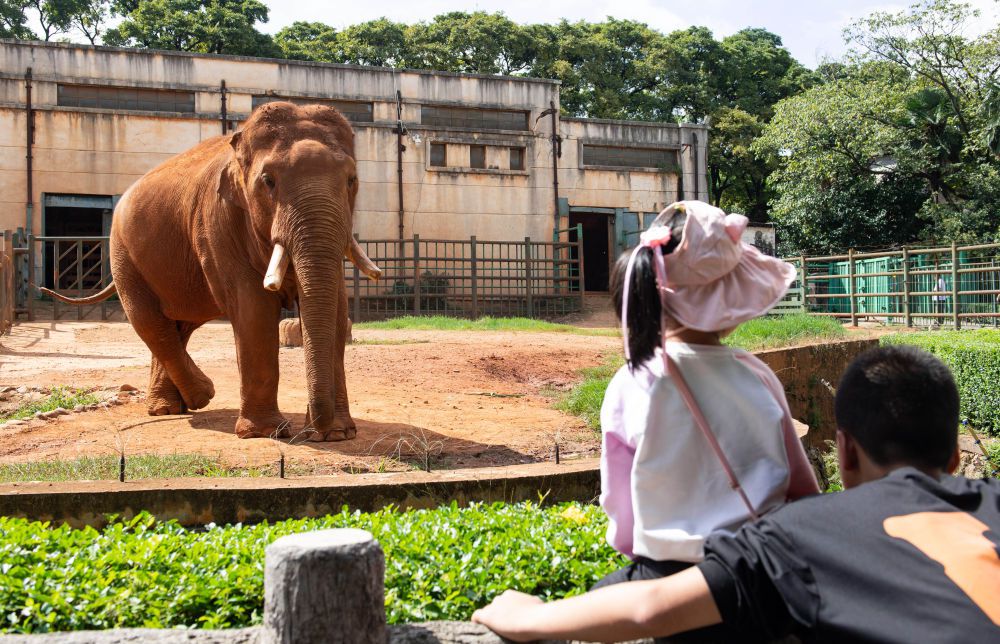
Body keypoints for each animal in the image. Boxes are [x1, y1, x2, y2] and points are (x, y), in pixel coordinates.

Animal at [40, 102, 378, 441]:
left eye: (352, 179)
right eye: (268, 181)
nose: (313, 430)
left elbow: (337, 309)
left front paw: (337, 434)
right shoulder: (218, 223)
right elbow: (253, 308)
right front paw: (266, 432)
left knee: (177, 325)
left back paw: (173, 406)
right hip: (123, 255)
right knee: (148, 320)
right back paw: (198, 397)